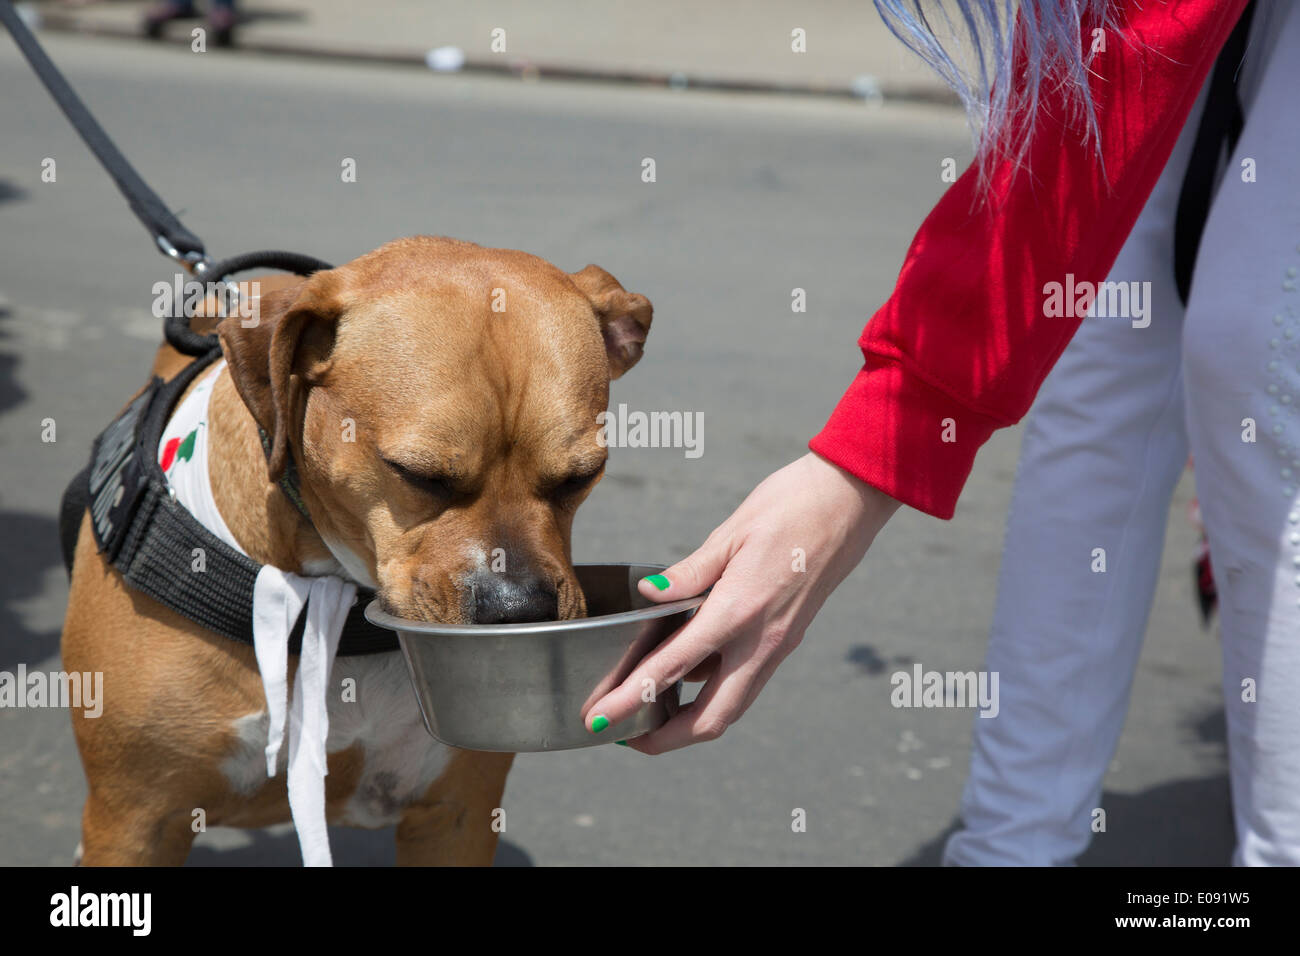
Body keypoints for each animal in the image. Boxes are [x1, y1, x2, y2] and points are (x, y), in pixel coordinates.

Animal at [59, 235, 650, 863]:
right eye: (418, 475)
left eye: (581, 477)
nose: (520, 609)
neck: (331, 591)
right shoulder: (134, 823)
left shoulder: (457, 817)